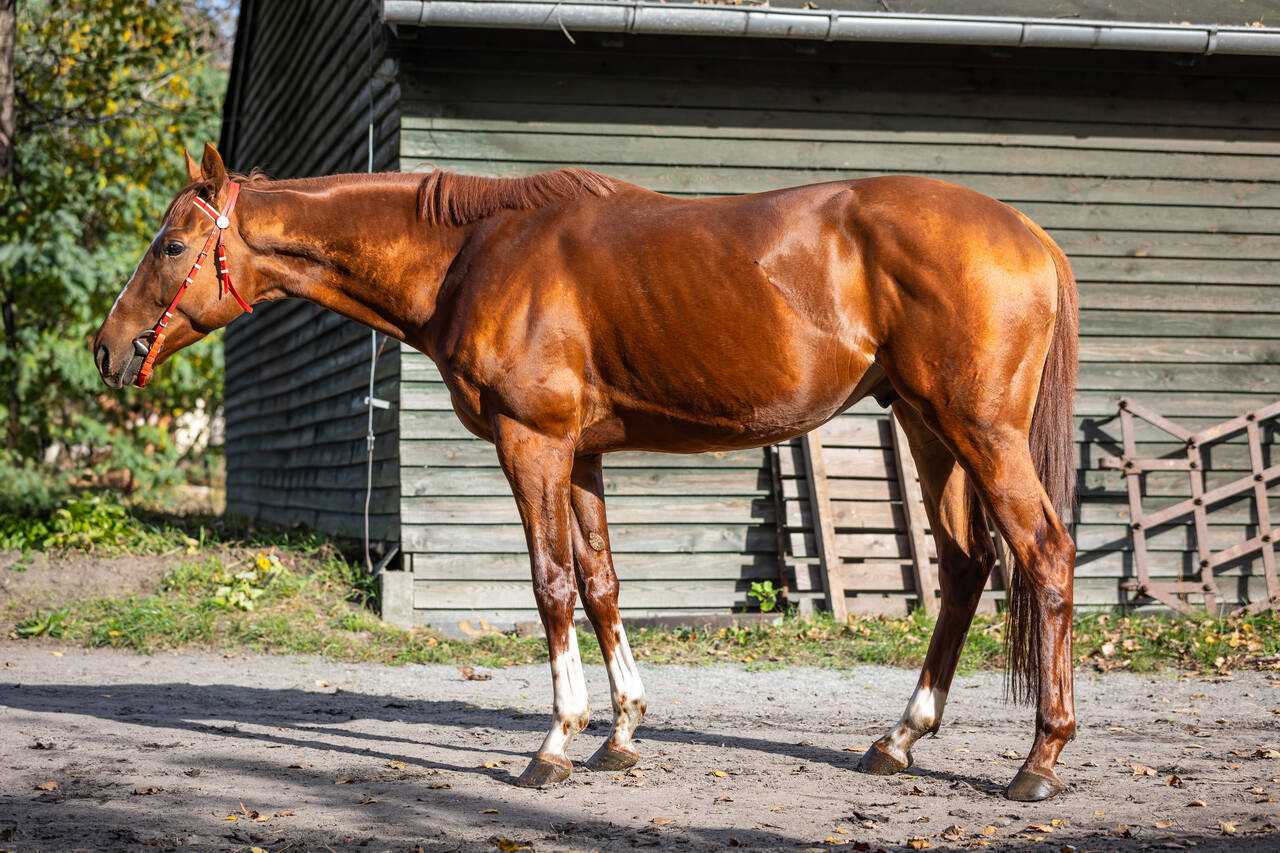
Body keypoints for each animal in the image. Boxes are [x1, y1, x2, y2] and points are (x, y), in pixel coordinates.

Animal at [94, 143, 1079, 802]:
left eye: (172, 245)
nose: (107, 348)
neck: (474, 254)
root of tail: (1032, 236)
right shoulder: (583, 455)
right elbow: (603, 584)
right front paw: (623, 731)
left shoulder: (532, 443)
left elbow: (551, 585)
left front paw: (555, 744)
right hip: (926, 426)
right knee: (965, 566)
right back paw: (899, 739)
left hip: (980, 432)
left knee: (1044, 553)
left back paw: (1038, 759)